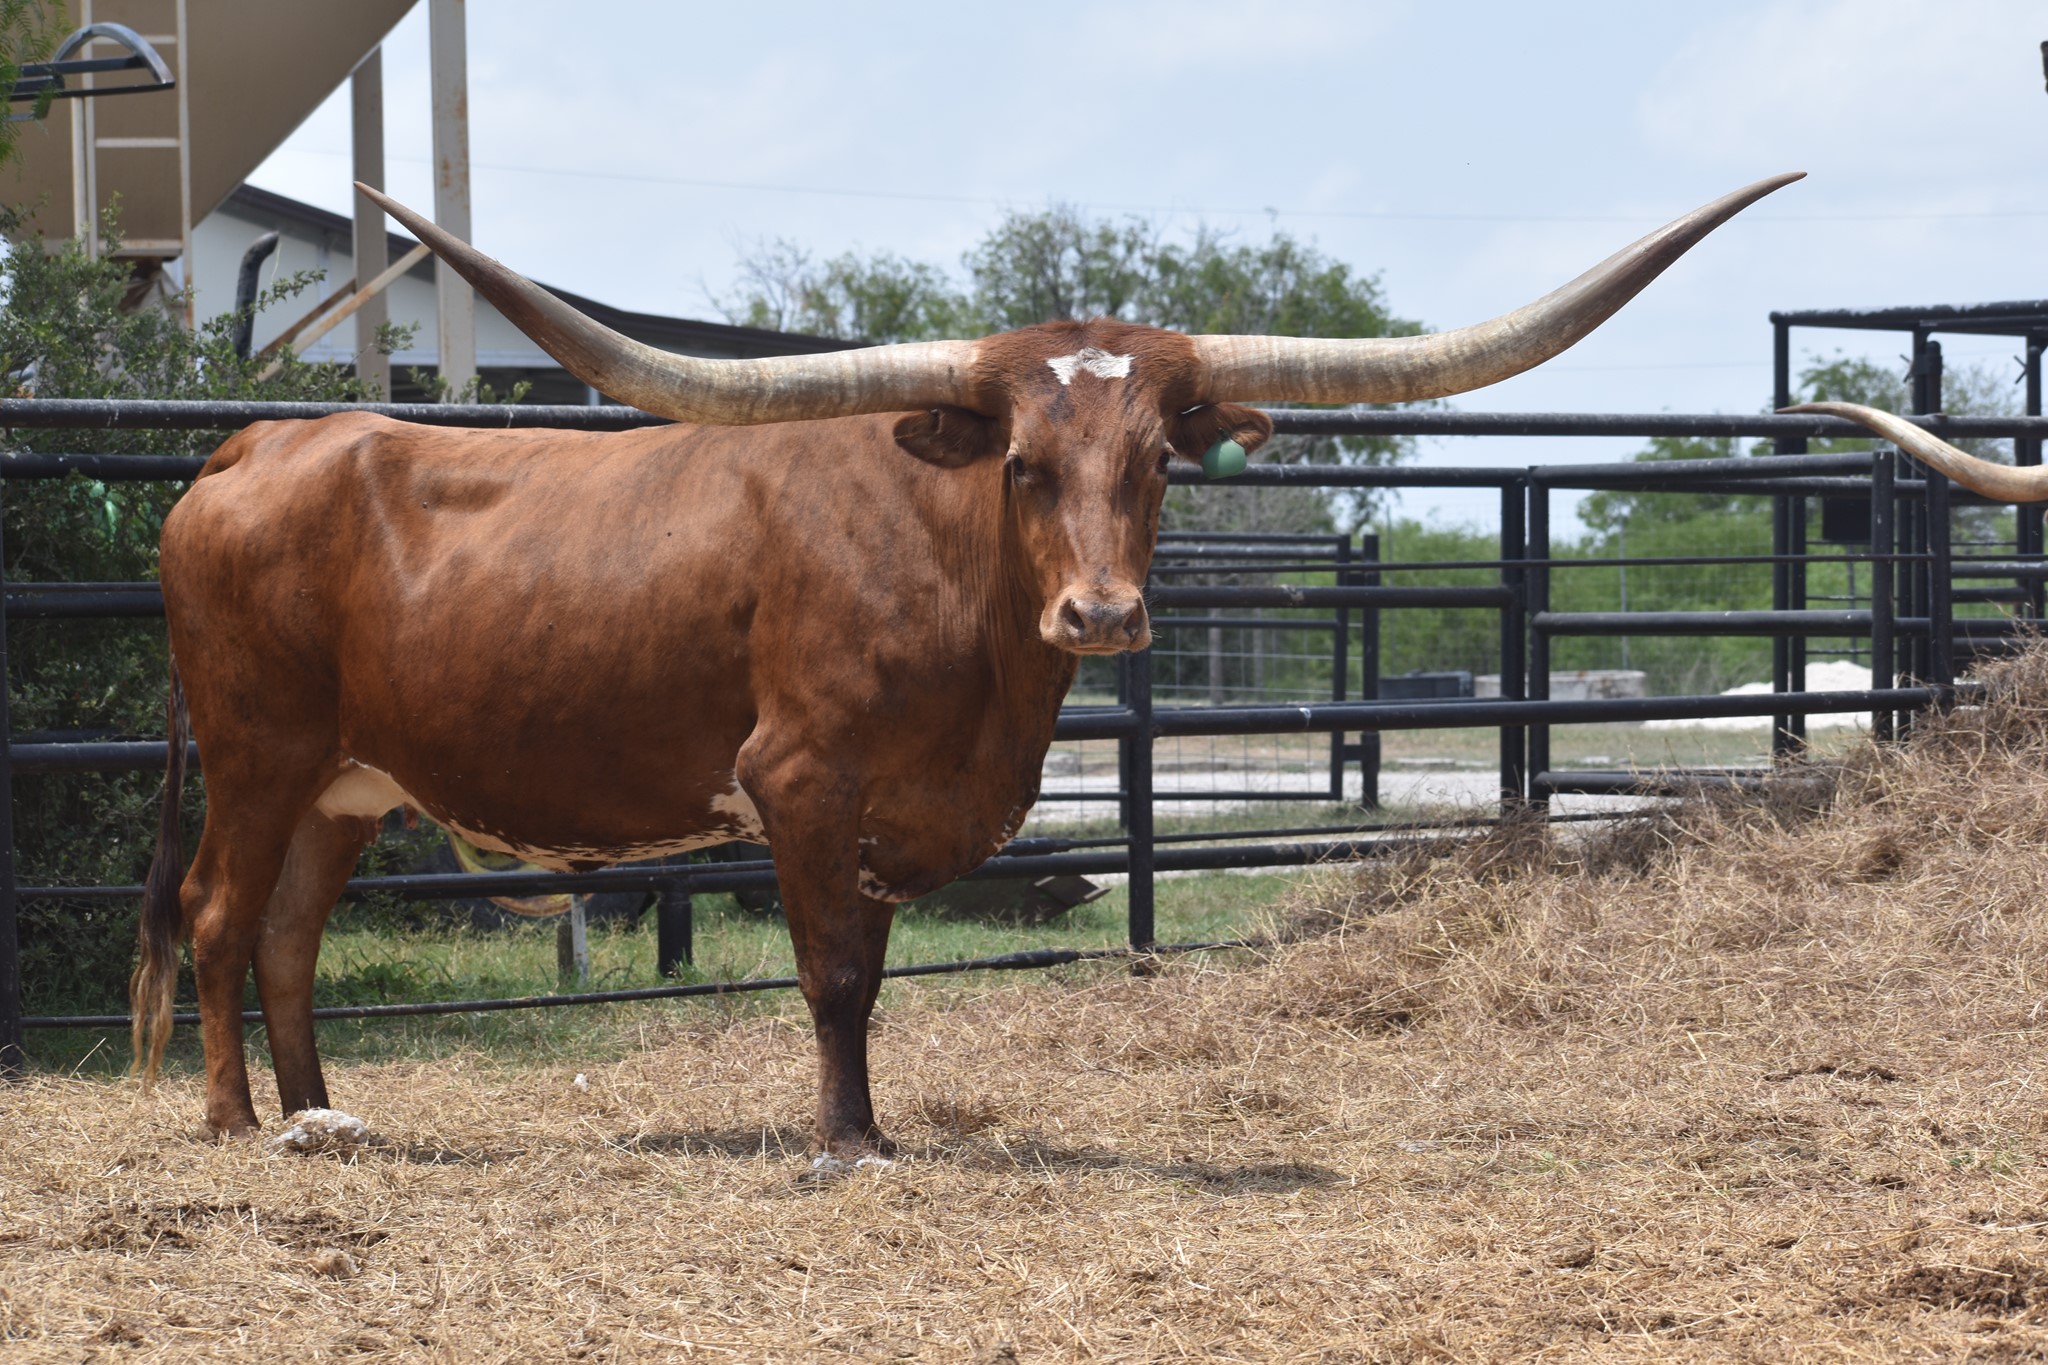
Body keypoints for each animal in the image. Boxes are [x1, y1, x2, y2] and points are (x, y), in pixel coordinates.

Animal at [130, 172, 1801, 1162]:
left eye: (1156, 462)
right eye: (1021, 463)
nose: (1104, 617)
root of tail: (263, 441)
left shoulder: (888, 809)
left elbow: (870, 980)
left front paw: (871, 1131)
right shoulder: (801, 779)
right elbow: (830, 975)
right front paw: (843, 1148)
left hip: (348, 781)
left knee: (287, 934)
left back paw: (325, 1115)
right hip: (261, 752)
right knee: (218, 916)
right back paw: (232, 1125)